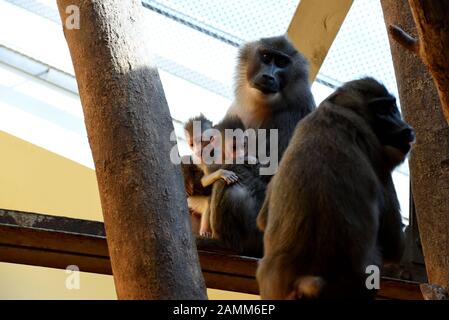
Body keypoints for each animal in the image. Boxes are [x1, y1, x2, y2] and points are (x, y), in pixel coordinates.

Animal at [258, 78, 414, 300]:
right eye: (382, 110)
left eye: (393, 108)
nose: (405, 129)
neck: (339, 109)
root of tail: (305, 281)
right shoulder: (375, 153)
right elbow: (393, 243)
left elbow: (262, 220)